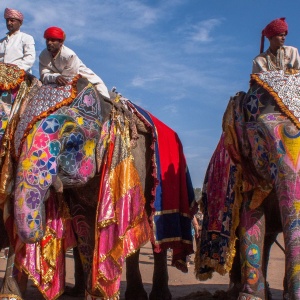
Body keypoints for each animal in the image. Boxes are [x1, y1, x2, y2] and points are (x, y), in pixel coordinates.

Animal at [0, 71, 195, 300]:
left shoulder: (134, 158)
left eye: (70, 143)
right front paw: (94, 293)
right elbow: (82, 223)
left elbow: (132, 219)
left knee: (158, 232)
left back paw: (159, 295)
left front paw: (129, 295)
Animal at [196, 69, 300, 298]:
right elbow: (249, 218)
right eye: (260, 134)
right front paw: (248, 298)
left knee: (269, 238)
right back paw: (235, 291)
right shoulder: (246, 173)